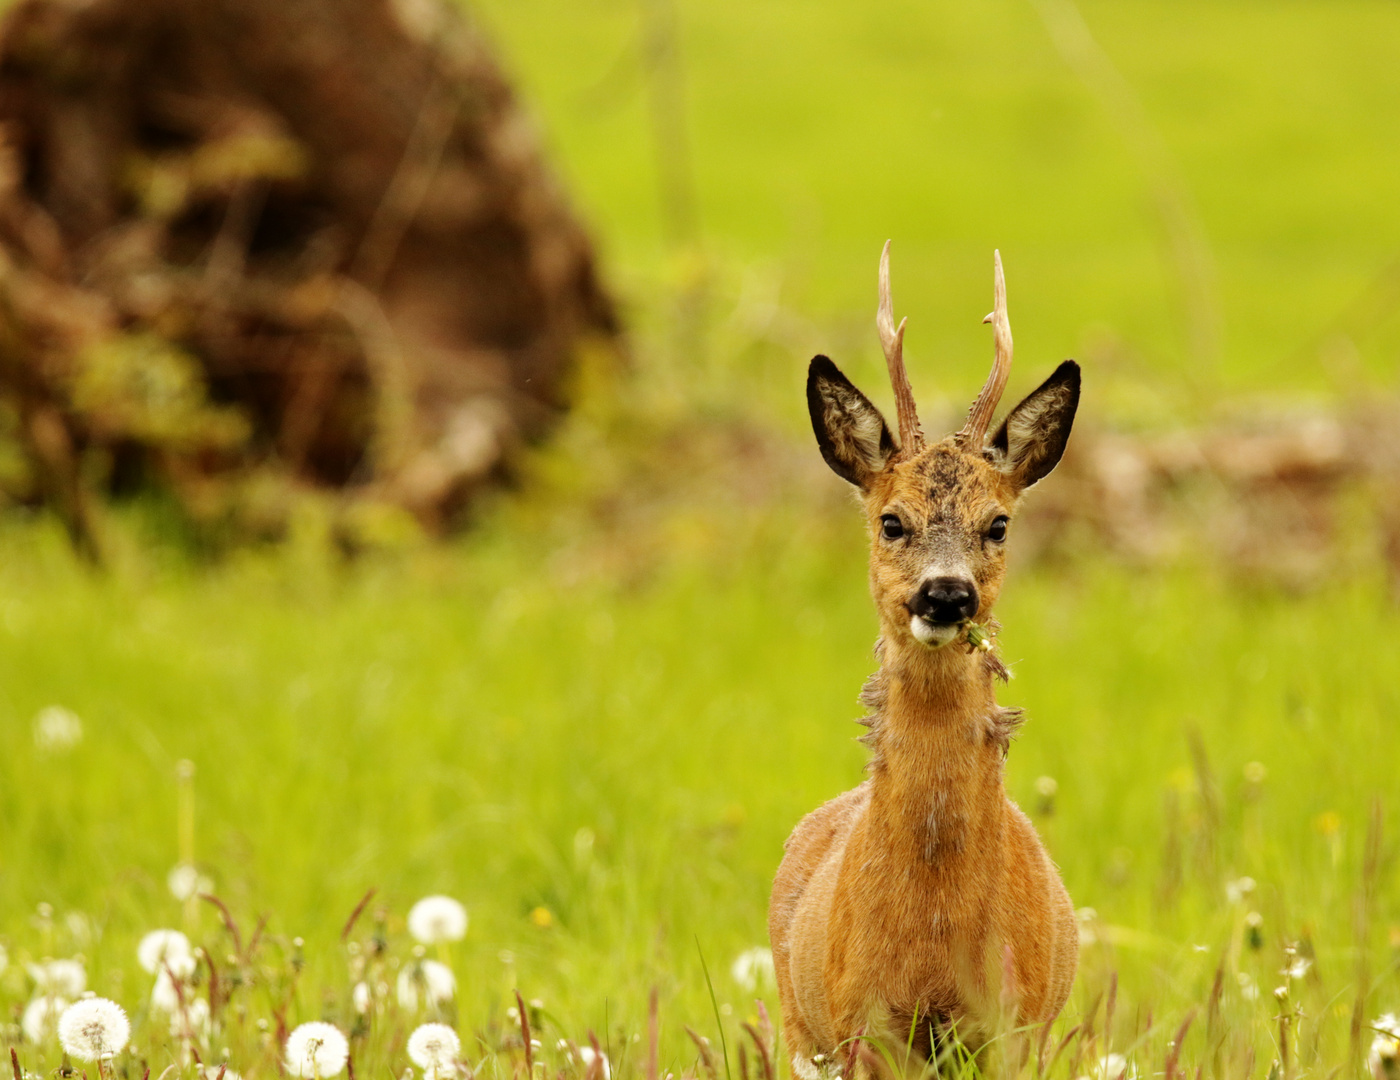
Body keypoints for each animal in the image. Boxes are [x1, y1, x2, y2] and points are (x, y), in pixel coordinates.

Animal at [772, 240, 1075, 1070]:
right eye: (891, 521)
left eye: (998, 523)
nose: (946, 595)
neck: (936, 929)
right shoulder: (864, 1024)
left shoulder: (1013, 1025)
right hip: (798, 1029)